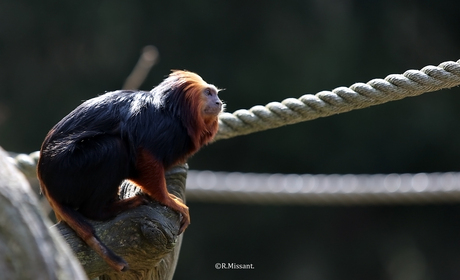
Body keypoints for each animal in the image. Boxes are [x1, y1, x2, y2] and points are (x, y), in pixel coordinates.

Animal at [36, 69, 223, 272]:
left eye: (216, 94)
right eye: (209, 93)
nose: (219, 102)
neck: (176, 113)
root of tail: (46, 183)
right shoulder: (164, 127)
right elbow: (144, 152)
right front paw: (166, 199)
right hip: (68, 170)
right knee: (114, 148)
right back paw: (104, 210)